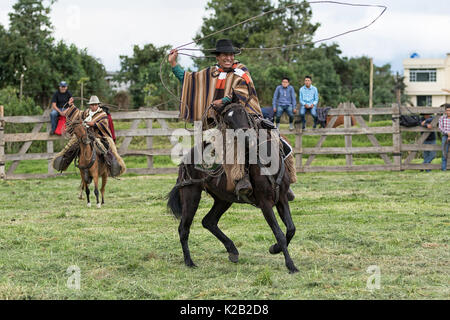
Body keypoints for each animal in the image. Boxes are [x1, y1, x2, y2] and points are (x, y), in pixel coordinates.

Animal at [166, 104, 298, 274]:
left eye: (244, 113)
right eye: (227, 121)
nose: (248, 138)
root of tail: (186, 158)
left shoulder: (281, 199)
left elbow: (291, 229)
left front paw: (275, 249)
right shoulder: (265, 204)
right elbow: (279, 233)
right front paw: (290, 265)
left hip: (223, 199)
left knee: (209, 221)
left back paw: (232, 251)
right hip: (191, 194)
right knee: (184, 228)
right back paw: (189, 262)